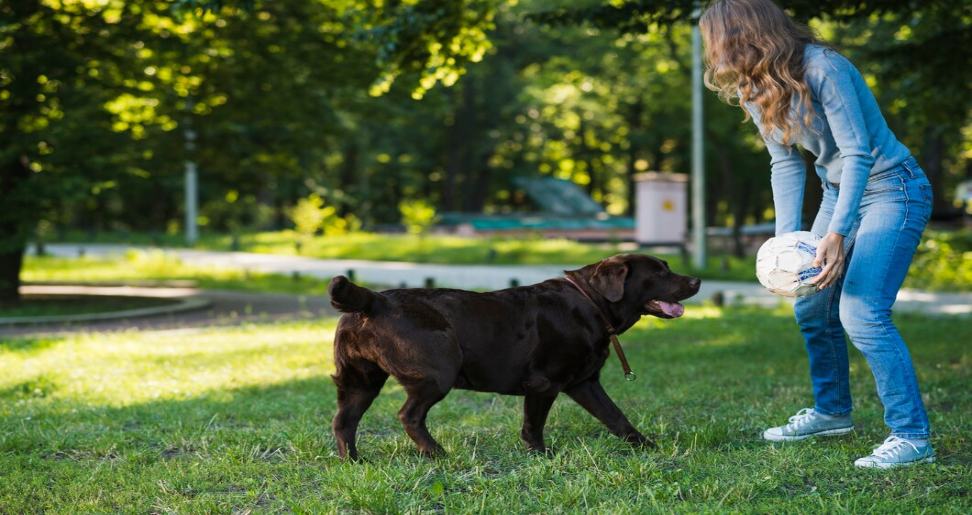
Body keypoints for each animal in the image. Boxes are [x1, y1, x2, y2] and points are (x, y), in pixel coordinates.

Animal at [326, 254, 700, 460]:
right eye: (659, 273)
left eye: (667, 268)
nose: (696, 280)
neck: (592, 301)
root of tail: (374, 300)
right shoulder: (544, 383)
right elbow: (533, 425)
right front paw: (542, 456)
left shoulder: (584, 383)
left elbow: (616, 417)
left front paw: (646, 446)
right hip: (438, 371)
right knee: (409, 415)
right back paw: (438, 454)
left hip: (361, 381)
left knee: (344, 420)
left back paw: (354, 462)